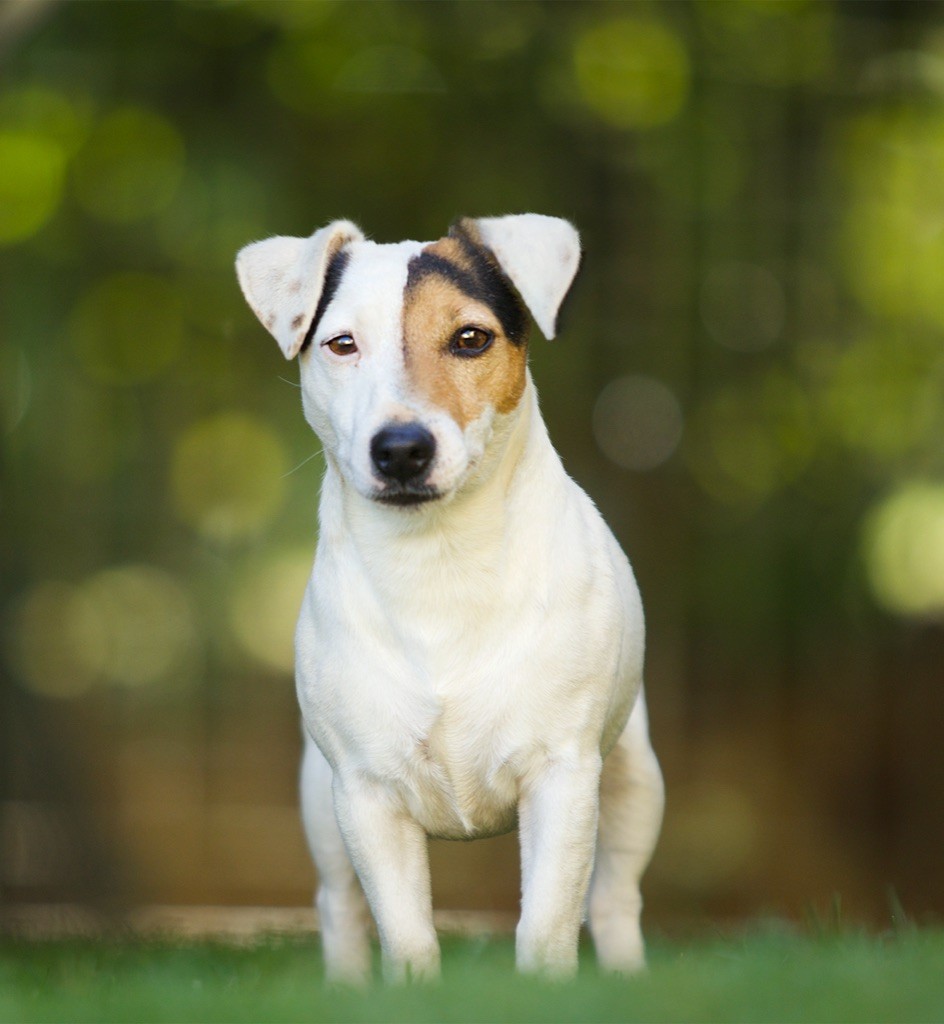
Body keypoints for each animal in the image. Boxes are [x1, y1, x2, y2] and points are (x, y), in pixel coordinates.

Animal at [235, 214, 663, 983]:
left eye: (470, 338)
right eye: (342, 344)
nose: (401, 448)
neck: (437, 563)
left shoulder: (562, 776)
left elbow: (546, 925)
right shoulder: (367, 794)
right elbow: (406, 936)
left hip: (634, 784)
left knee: (615, 898)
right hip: (322, 808)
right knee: (338, 907)